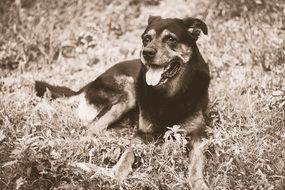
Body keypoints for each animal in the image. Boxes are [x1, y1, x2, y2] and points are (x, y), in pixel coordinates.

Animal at [35, 15, 209, 189]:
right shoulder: (142, 134)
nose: (146, 53)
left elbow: (196, 166)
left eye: (171, 39)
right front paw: (115, 176)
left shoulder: (198, 136)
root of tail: (91, 83)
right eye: (146, 39)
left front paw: (199, 184)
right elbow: (127, 154)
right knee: (90, 129)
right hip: (128, 92)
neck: (169, 96)